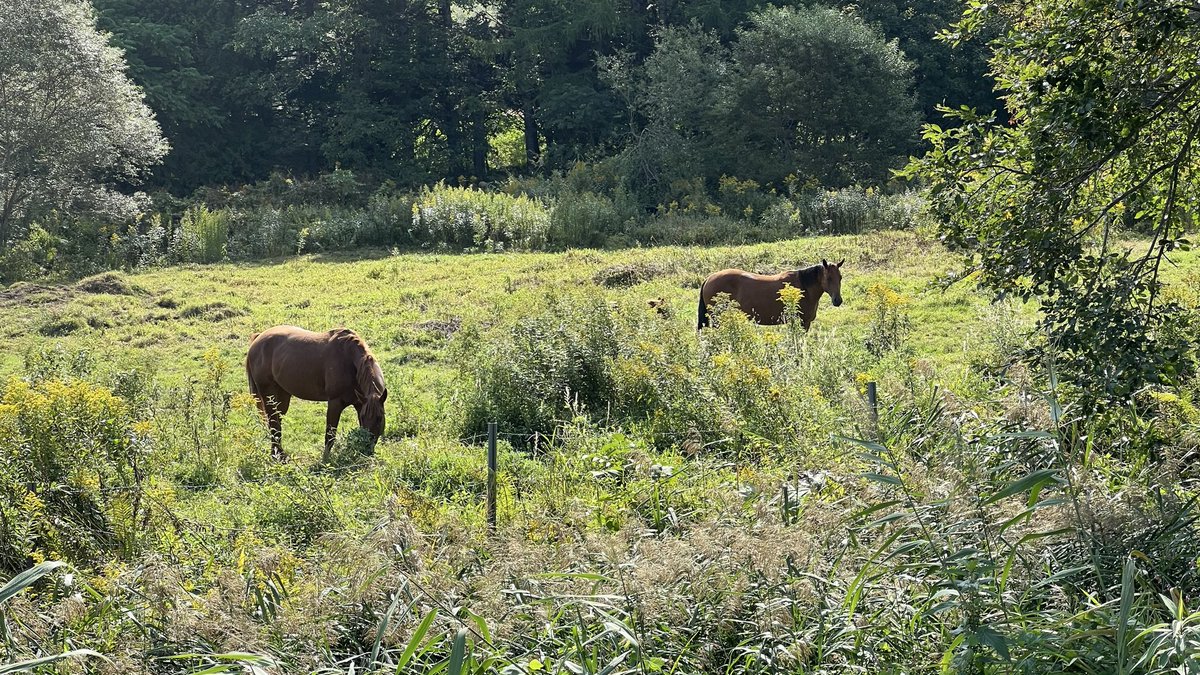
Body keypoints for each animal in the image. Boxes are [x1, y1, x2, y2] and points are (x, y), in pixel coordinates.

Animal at [246, 326, 388, 461]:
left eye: (380, 418)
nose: (367, 450)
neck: (350, 361)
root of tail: (257, 339)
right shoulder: (335, 403)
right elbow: (330, 435)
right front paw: (325, 460)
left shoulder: (360, 403)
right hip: (269, 396)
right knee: (273, 424)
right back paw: (277, 456)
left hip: (282, 397)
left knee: (277, 422)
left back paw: (280, 455)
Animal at [698, 259, 844, 330]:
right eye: (828, 278)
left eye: (840, 277)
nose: (838, 300)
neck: (803, 288)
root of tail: (708, 279)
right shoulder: (803, 322)